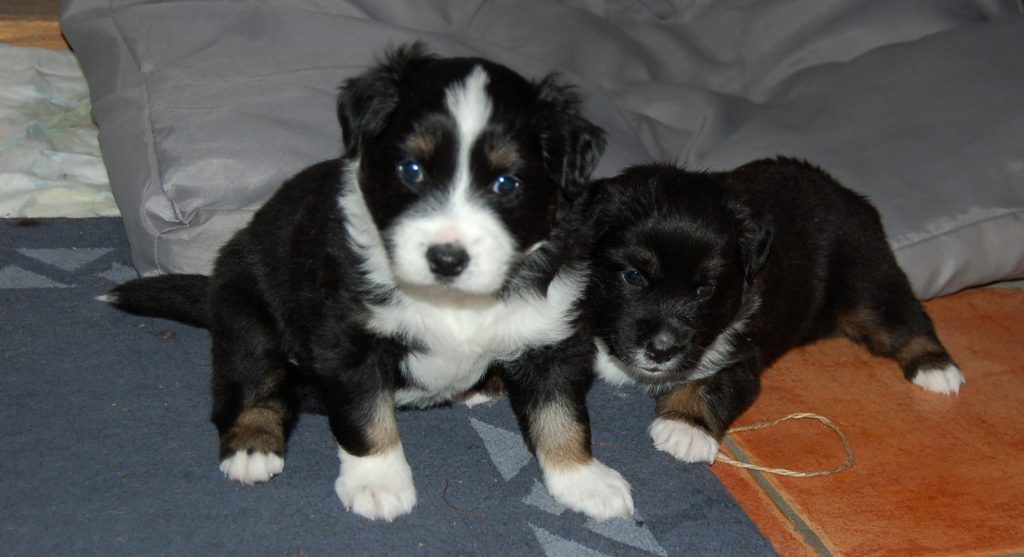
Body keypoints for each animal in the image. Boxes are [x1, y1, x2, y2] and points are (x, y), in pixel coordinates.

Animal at [101, 43, 634, 521]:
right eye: (411, 169)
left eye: (507, 183)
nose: (446, 258)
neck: (454, 301)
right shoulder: (349, 337)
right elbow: (367, 417)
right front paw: (378, 483)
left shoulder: (554, 335)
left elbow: (562, 415)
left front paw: (585, 480)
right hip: (245, 309)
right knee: (250, 385)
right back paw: (252, 445)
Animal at [584, 159, 965, 463]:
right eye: (633, 276)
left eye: (705, 289)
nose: (662, 351)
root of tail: (843, 191)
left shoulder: (742, 355)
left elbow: (713, 384)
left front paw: (685, 428)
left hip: (866, 284)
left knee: (906, 319)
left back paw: (937, 369)